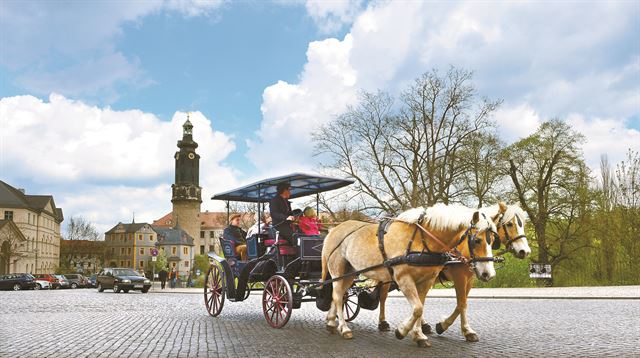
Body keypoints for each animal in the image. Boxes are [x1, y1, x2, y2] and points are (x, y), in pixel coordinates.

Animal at [322, 204, 498, 346]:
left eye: (493, 240)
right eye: (477, 240)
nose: (488, 273)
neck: (422, 240)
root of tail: (333, 230)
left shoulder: (427, 281)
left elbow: (422, 306)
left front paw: (419, 335)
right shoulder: (404, 279)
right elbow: (418, 308)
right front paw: (402, 330)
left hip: (350, 272)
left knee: (339, 294)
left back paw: (331, 322)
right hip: (338, 270)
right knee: (338, 296)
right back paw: (344, 328)